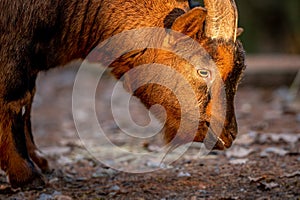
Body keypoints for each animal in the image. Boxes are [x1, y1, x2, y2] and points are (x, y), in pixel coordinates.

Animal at [0, 0, 244, 188]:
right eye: (203, 71)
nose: (229, 134)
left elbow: (29, 99)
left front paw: (38, 160)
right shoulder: (14, 44)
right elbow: (16, 99)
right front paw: (26, 175)